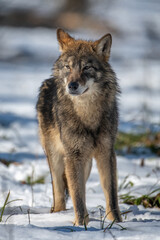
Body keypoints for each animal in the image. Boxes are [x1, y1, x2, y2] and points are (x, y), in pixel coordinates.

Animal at [36, 29, 121, 226]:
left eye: (86, 68)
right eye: (68, 67)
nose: (72, 86)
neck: (87, 113)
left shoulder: (107, 152)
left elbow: (111, 195)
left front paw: (117, 222)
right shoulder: (73, 155)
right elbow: (77, 196)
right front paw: (81, 225)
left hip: (86, 164)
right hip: (58, 160)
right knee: (60, 195)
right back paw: (58, 216)